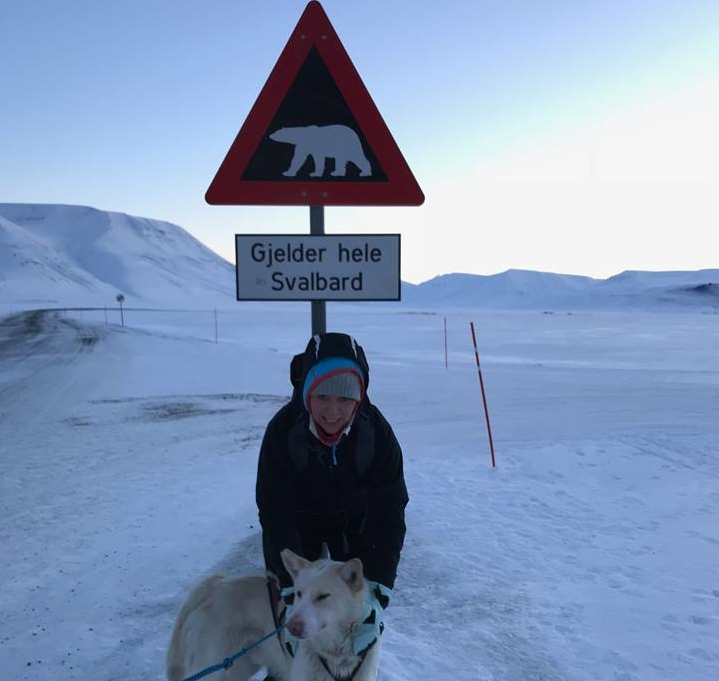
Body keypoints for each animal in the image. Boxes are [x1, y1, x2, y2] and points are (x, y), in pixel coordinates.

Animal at [167, 548, 382, 680]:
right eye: (298, 594)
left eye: (323, 596)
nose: (292, 627)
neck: (336, 655)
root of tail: (212, 585)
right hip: (212, 668)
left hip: (238, 668)